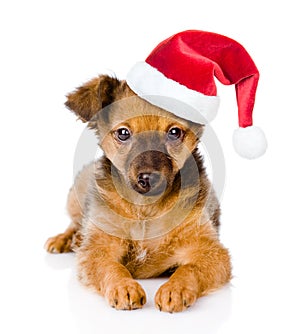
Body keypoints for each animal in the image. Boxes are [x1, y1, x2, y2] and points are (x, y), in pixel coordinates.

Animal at [45, 75, 232, 314]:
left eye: (174, 132)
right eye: (123, 133)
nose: (149, 178)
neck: (145, 208)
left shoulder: (210, 251)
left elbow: (190, 269)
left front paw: (176, 288)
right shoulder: (98, 249)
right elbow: (111, 267)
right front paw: (123, 287)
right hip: (76, 193)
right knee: (75, 222)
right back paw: (65, 239)